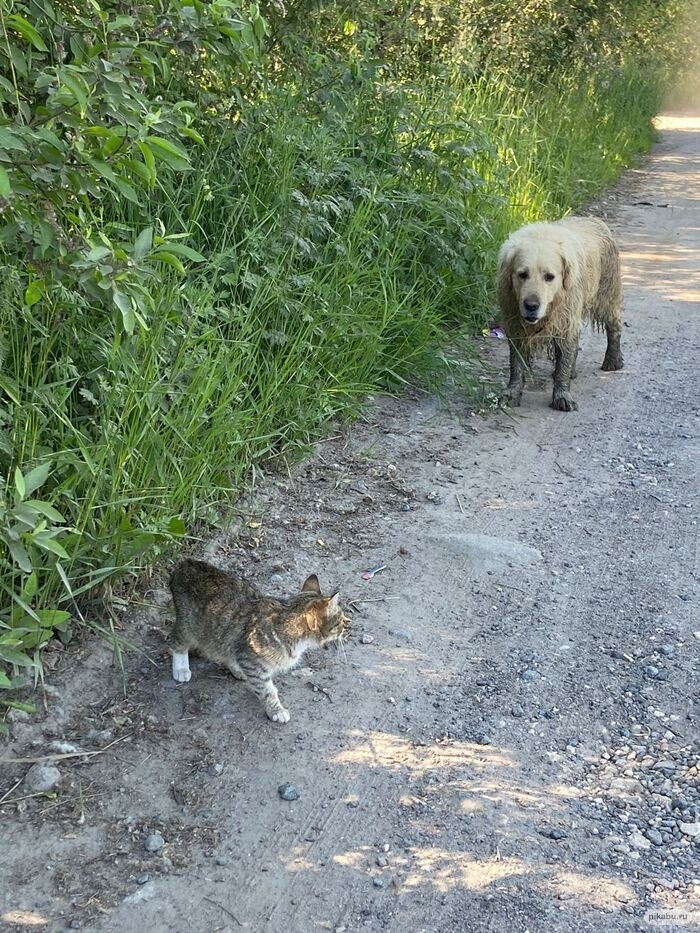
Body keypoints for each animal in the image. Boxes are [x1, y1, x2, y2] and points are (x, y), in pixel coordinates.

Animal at [167, 556, 348, 724]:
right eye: (339, 620)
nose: (346, 624)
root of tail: (186, 564)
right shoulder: (253, 664)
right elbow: (268, 690)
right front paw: (276, 710)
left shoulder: (246, 657)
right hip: (188, 627)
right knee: (175, 641)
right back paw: (181, 668)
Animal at [498, 218, 624, 412]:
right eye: (522, 274)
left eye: (549, 276)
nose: (531, 305)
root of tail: (596, 220)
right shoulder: (515, 324)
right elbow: (517, 363)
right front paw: (511, 393)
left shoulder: (566, 319)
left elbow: (563, 362)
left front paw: (562, 395)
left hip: (607, 295)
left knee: (614, 326)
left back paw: (613, 359)